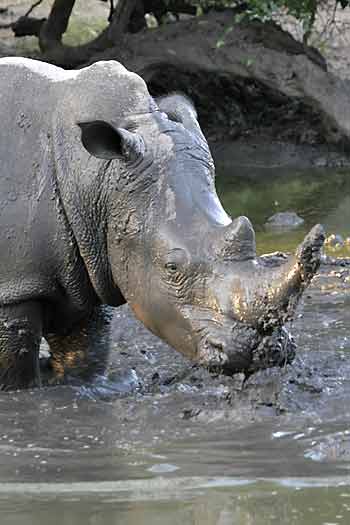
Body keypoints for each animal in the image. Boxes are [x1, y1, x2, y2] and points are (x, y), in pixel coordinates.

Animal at [0, 57, 324, 388]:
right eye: (171, 267)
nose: (265, 350)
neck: (95, 177)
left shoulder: (87, 264)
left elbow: (86, 356)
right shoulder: (16, 288)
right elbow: (16, 372)